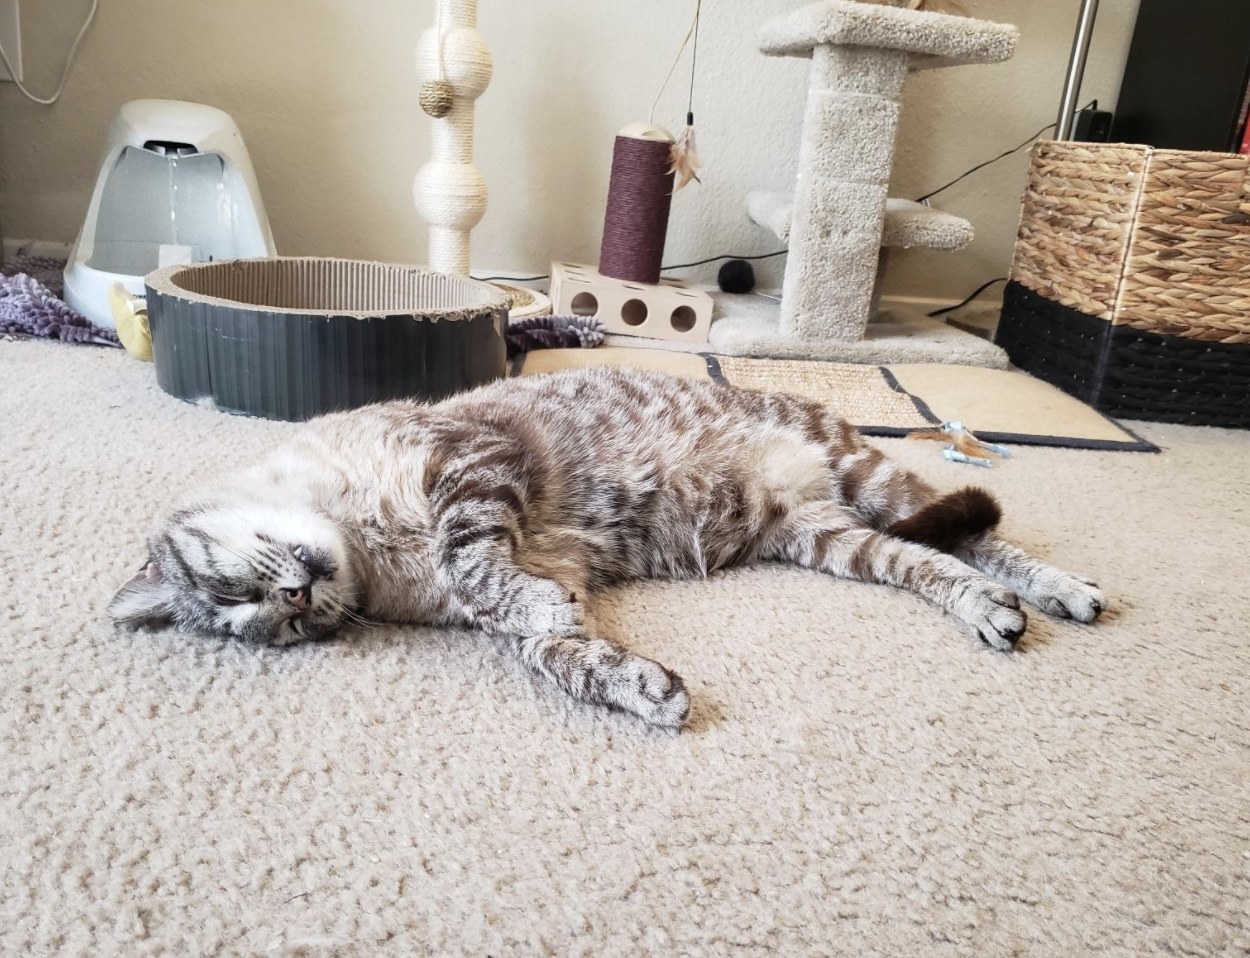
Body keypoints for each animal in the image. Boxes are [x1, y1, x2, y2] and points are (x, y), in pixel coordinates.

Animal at [107, 367, 1105, 730]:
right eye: (264, 630)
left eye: (230, 588)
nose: (294, 603)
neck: (375, 552)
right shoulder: (543, 584)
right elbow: (557, 651)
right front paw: (641, 689)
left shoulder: (474, 463)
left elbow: (478, 562)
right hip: (835, 541)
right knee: (938, 563)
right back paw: (995, 612)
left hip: (875, 482)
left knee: (989, 537)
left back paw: (1061, 591)